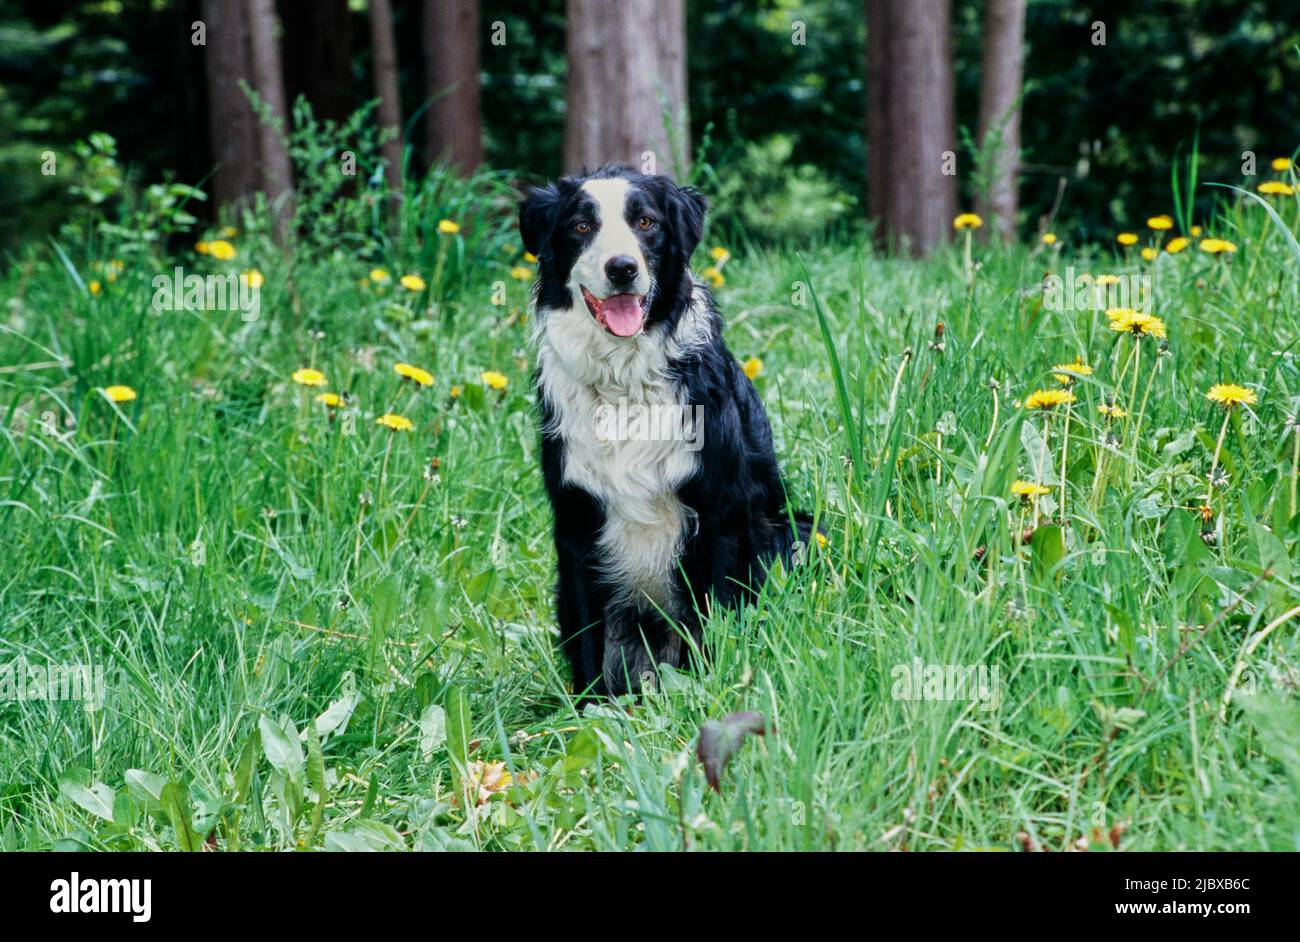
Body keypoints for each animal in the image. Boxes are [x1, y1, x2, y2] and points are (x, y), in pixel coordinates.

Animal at [520, 165, 811, 696]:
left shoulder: (722, 511)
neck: (624, 382)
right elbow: (588, 636)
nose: (622, 268)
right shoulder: (575, 521)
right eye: (580, 226)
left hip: (798, 529)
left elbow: (717, 612)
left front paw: (711, 690)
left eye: (646, 222)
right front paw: (588, 710)